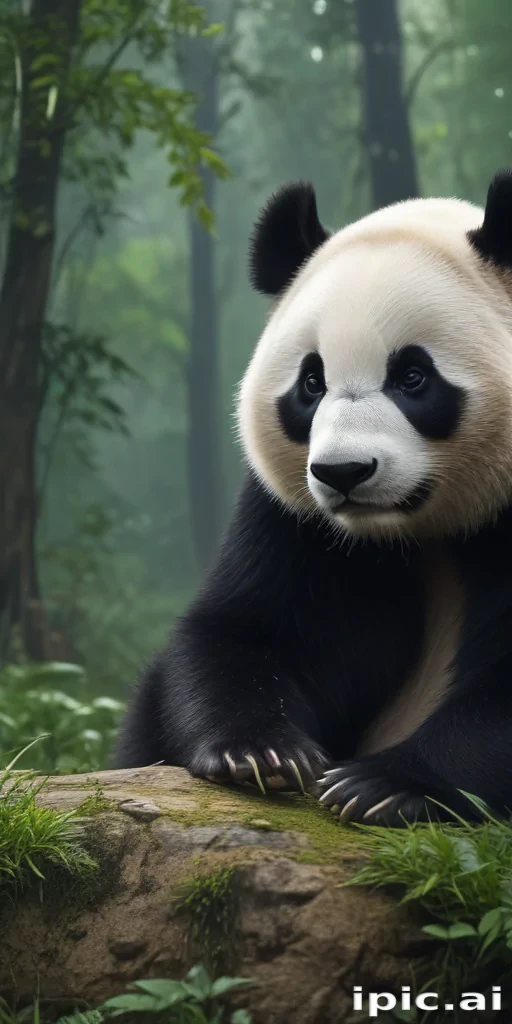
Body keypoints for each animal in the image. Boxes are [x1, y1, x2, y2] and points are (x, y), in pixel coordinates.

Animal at [116, 169, 512, 827]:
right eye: (311, 382)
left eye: (413, 376)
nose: (344, 472)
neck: (413, 532)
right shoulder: (293, 517)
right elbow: (254, 629)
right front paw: (260, 754)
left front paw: (383, 785)